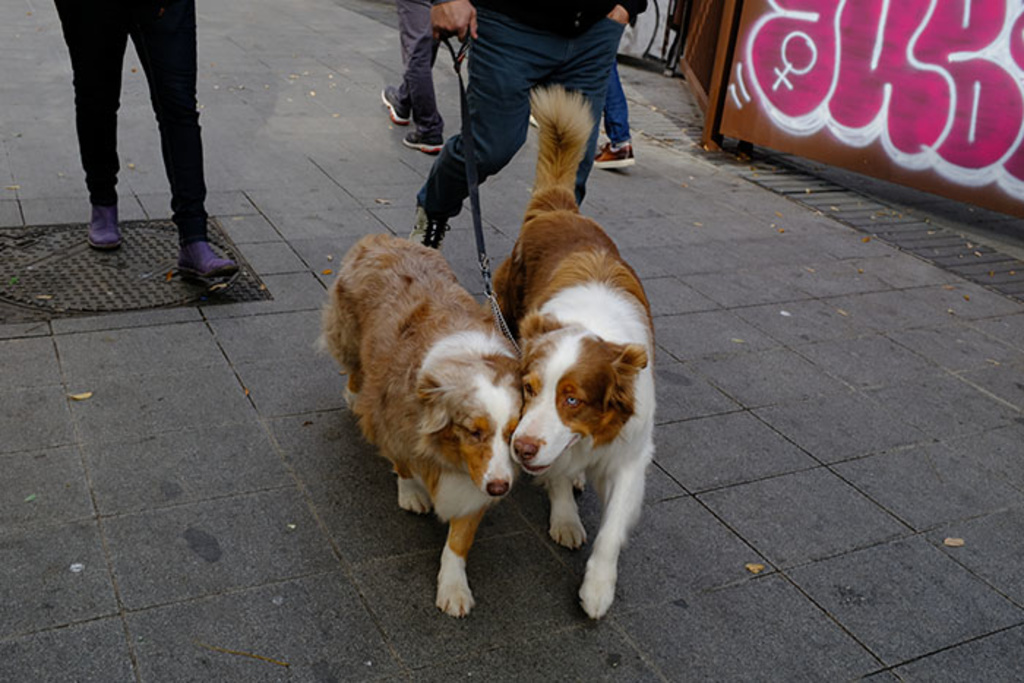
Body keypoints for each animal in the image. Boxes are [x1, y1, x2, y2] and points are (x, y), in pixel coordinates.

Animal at [319, 232, 524, 618]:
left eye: (512, 434)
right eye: (474, 431)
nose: (500, 489)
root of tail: (384, 239)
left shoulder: (478, 477)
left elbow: (460, 538)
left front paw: (453, 586)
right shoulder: (392, 421)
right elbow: (401, 461)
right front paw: (411, 491)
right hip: (350, 332)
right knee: (354, 366)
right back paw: (352, 395)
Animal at [495, 85, 655, 618]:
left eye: (573, 399)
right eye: (528, 389)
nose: (520, 447)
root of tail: (556, 206)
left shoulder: (633, 451)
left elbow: (613, 527)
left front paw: (598, 587)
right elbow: (560, 474)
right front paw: (565, 517)